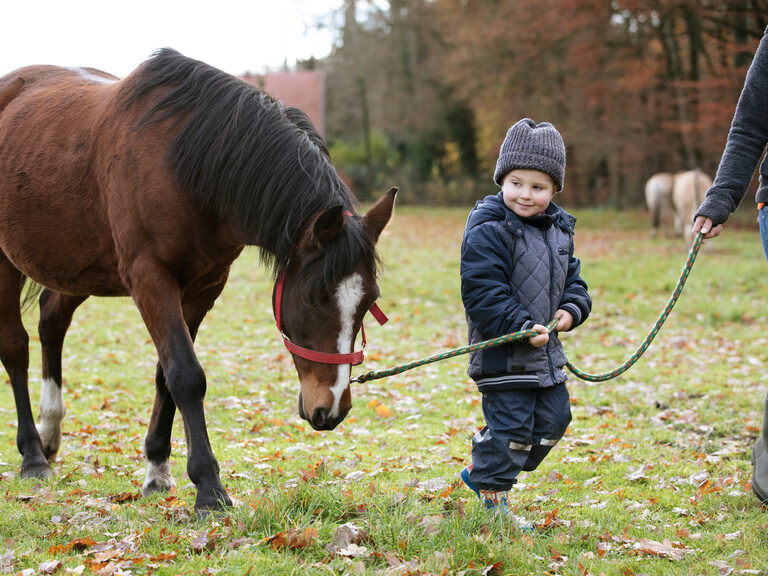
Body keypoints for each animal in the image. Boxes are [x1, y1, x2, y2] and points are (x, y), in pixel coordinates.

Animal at [0, 48, 396, 513]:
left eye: (369, 301)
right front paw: (209, 486)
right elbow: (186, 374)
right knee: (16, 347)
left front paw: (157, 469)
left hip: (77, 266)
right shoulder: (151, 278)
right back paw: (32, 454)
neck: (183, 165)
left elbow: (165, 374)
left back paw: (50, 433)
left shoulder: (204, 287)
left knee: (51, 322)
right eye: (314, 298)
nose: (331, 410)